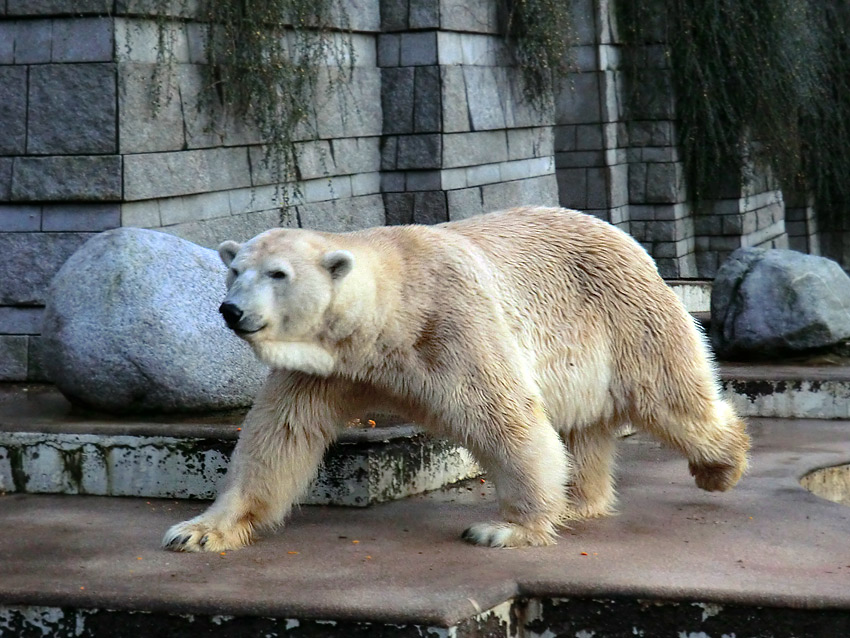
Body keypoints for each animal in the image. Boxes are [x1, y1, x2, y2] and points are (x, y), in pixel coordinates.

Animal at [162, 208, 744, 552]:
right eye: (234, 269)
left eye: (278, 274)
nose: (232, 310)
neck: (389, 315)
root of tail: (624, 236)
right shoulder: (324, 368)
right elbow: (277, 438)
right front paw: (197, 531)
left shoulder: (450, 324)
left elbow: (506, 418)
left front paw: (504, 528)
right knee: (585, 427)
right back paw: (579, 499)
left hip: (622, 313)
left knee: (672, 398)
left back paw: (721, 465)